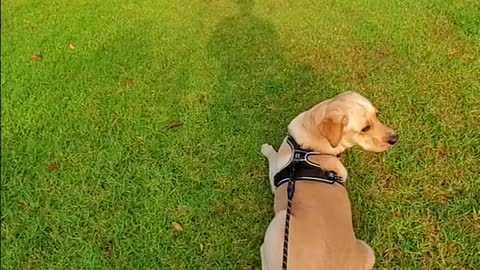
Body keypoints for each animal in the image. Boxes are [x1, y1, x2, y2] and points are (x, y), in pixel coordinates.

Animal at [258, 91, 398, 270]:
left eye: (377, 115)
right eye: (365, 128)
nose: (395, 138)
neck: (311, 148)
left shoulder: (275, 178)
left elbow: (272, 157)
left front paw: (267, 149)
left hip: (281, 221)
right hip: (368, 251)